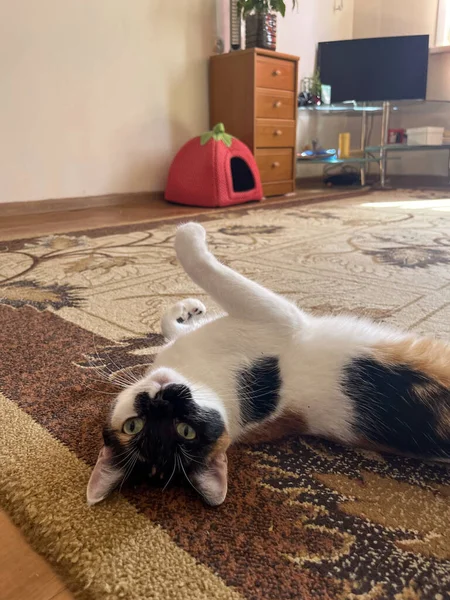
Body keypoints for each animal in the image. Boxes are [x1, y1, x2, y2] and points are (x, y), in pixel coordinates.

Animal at [87, 220, 450, 506]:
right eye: (136, 426)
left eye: (185, 430)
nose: (164, 400)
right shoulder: (278, 317)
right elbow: (195, 257)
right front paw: (192, 230)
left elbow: (171, 321)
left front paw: (187, 309)